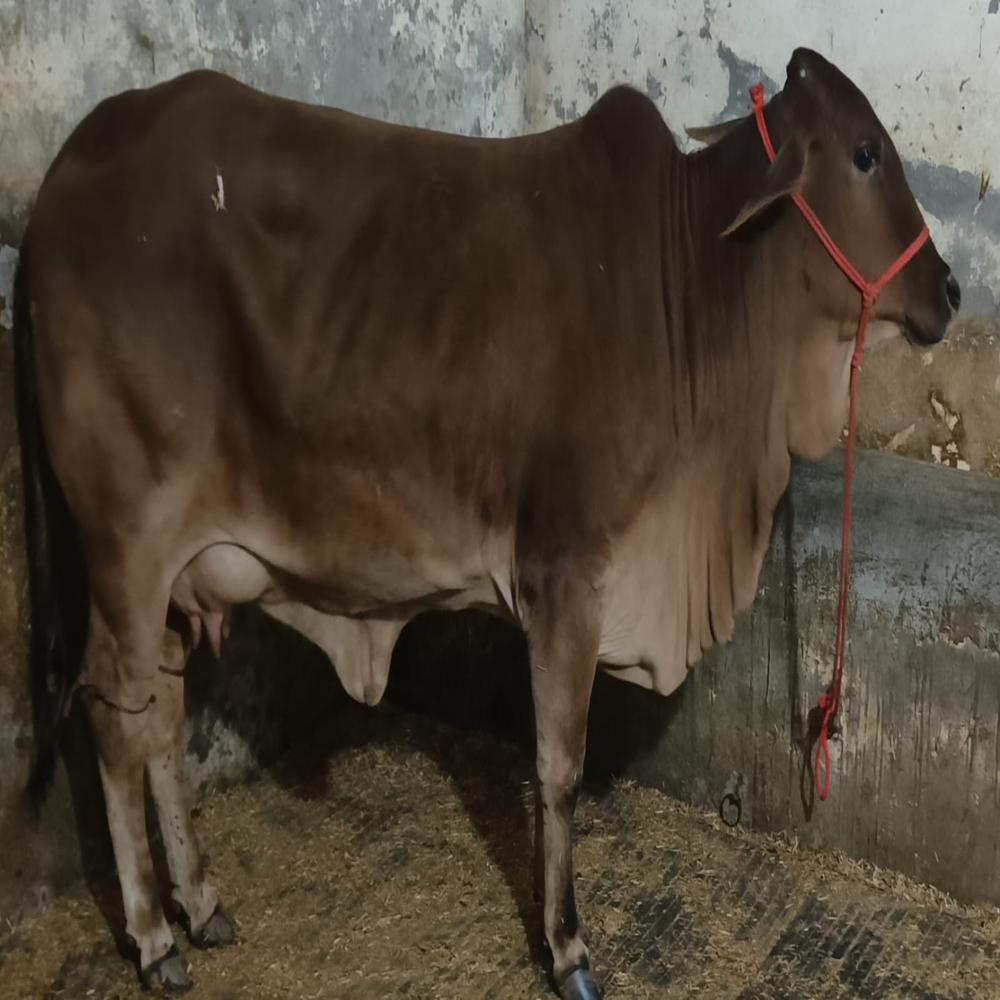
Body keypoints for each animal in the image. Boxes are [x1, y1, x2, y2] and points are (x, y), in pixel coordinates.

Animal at [13, 47, 957, 998]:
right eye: (865, 153)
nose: (949, 290)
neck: (690, 288)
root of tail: (64, 173)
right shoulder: (566, 575)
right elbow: (558, 766)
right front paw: (568, 945)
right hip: (127, 545)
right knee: (115, 719)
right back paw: (152, 936)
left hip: (174, 574)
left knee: (161, 713)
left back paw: (201, 905)